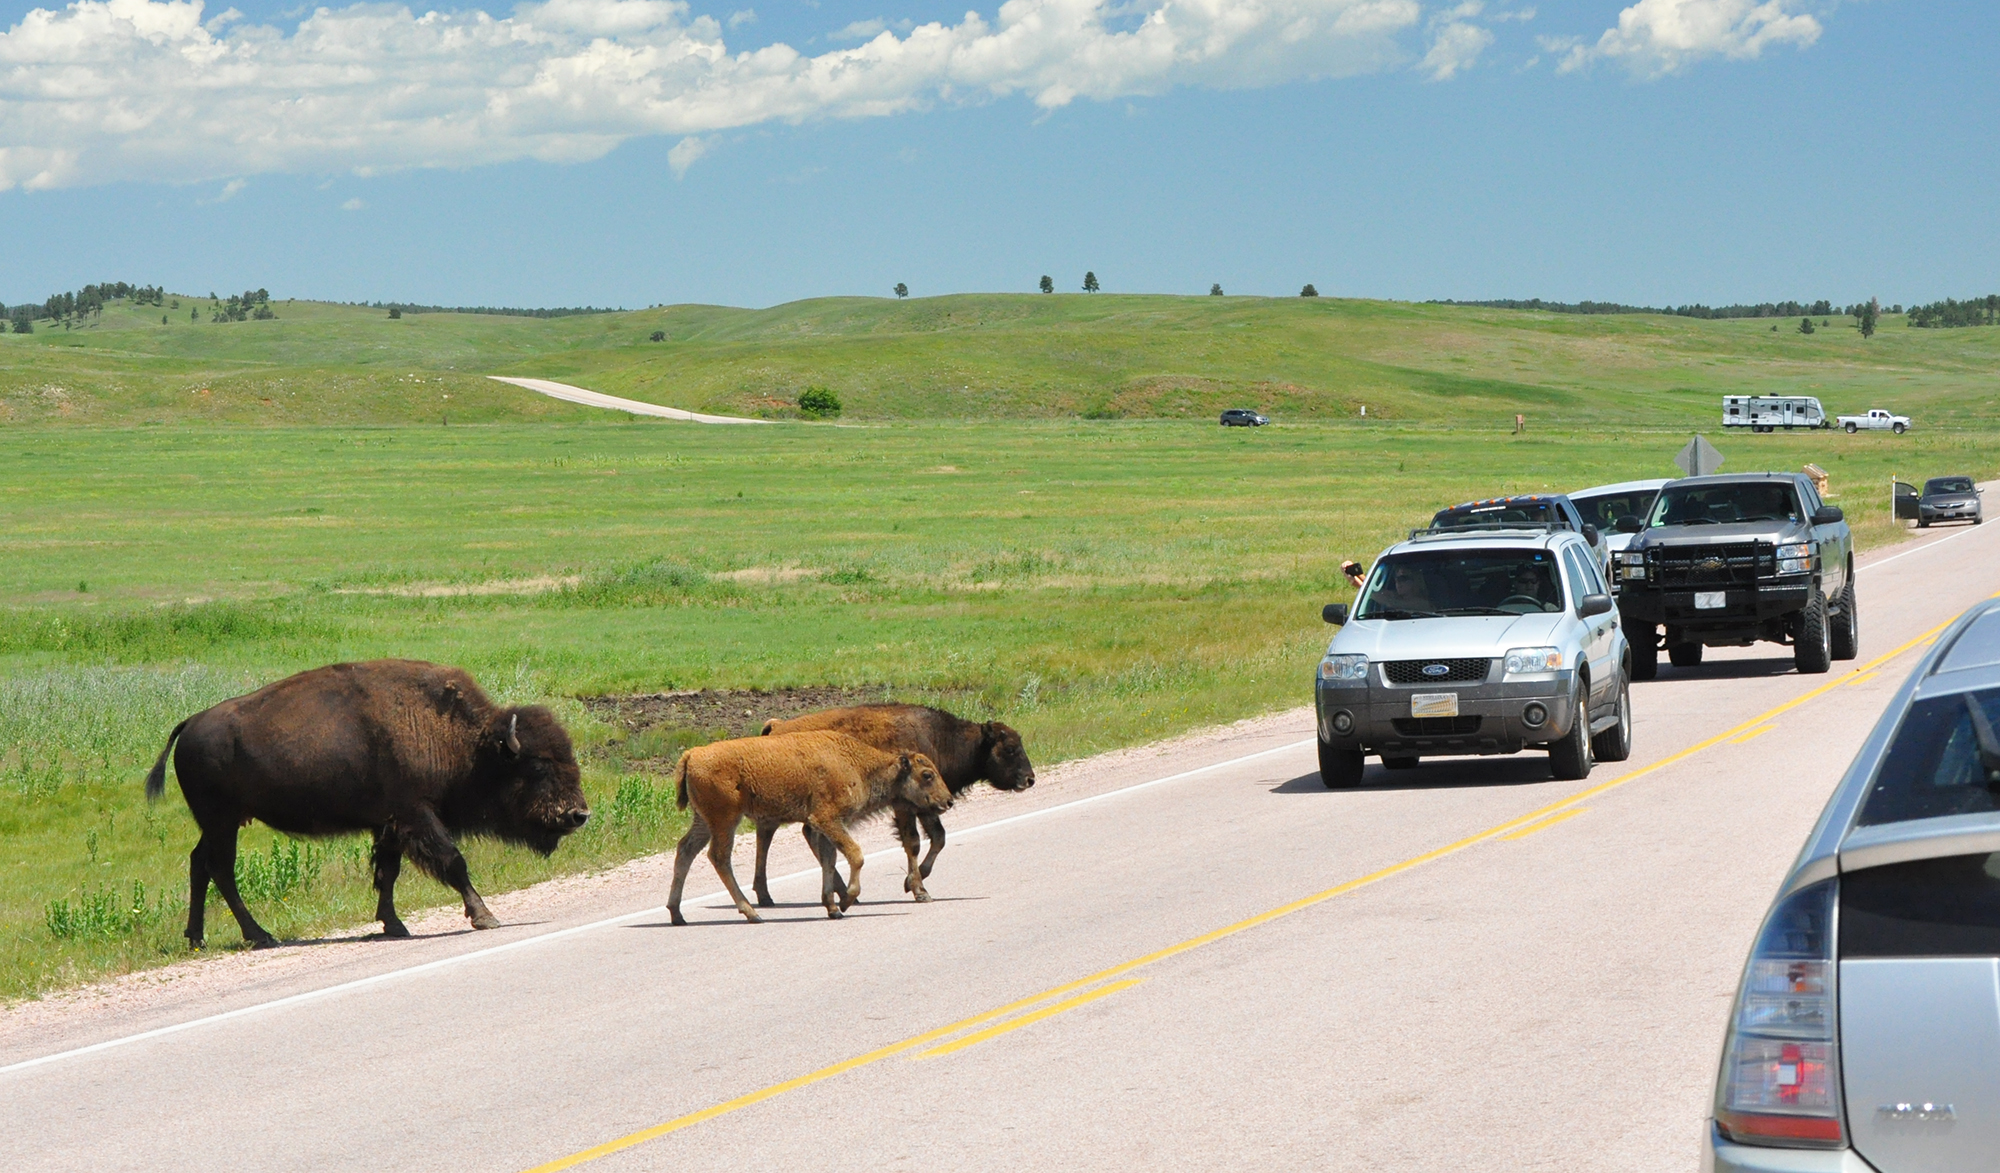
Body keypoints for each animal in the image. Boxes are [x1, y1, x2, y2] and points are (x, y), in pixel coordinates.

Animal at [145, 660, 588, 944]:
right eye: (538, 767)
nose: (579, 814)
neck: (468, 742)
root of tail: (190, 723)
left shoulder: (389, 824)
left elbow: (388, 873)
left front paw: (393, 924)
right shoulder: (415, 815)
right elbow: (453, 861)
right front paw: (485, 917)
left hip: (220, 822)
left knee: (200, 864)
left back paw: (198, 938)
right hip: (222, 822)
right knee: (221, 868)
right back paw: (260, 936)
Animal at [672, 728, 952, 920]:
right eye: (927, 775)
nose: (948, 801)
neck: (858, 764)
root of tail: (692, 754)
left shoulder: (825, 827)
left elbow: (829, 860)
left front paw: (832, 908)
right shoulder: (827, 819)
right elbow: (855, 855)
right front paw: (846, 901)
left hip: (703, 821)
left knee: (686, 850)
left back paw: (677, 914)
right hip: (725, 820)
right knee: (719, 857)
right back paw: (752, 913)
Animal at [752, 704, 1032, 904]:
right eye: (1009, 748)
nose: (1030, 779)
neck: (940, 738)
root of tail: (776, 726)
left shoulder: (927, 806)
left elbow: (938, 837)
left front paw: (913, 882)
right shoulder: (906, 807)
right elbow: (914, 843)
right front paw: (918, 889)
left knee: (789, 834)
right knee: (775, 835)